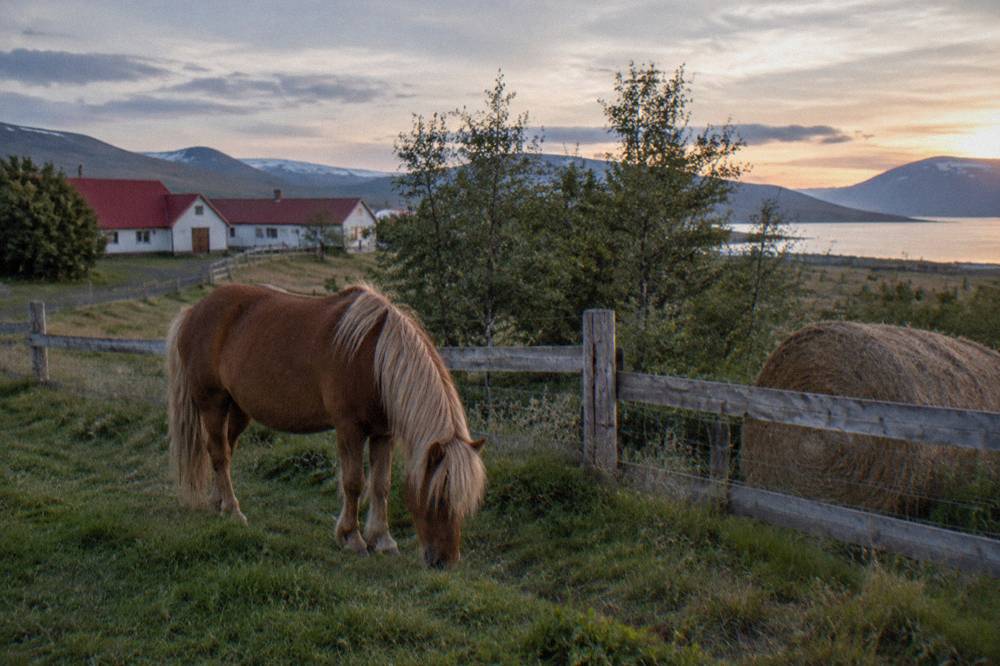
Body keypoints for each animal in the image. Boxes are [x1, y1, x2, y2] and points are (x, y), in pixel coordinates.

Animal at [165, 282, 486, 568]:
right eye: (439, 499)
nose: (445, 561)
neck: (372, 358)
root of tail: (193, 310)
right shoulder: (349, 428)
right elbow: (354, 482)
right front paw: (352, 538)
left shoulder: (383, 434)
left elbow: (381, 485)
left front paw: (383, 540)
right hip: (212, 403)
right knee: (219, 454)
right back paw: (233, 510)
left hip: (239, 408)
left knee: (222, 451)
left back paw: (217, 503)